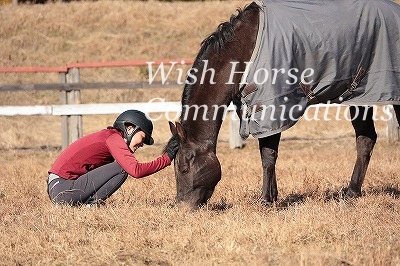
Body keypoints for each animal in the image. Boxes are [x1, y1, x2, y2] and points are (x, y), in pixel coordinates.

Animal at [165, 0, 400, 208]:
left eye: (183, 167)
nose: (182, 206)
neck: (243, 52)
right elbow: (267, 154)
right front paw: (273, 196)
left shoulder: (271, 106)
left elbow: (268, 155)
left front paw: (266, 200)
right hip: (361, 95)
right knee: (365, 139)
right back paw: (352, 192)